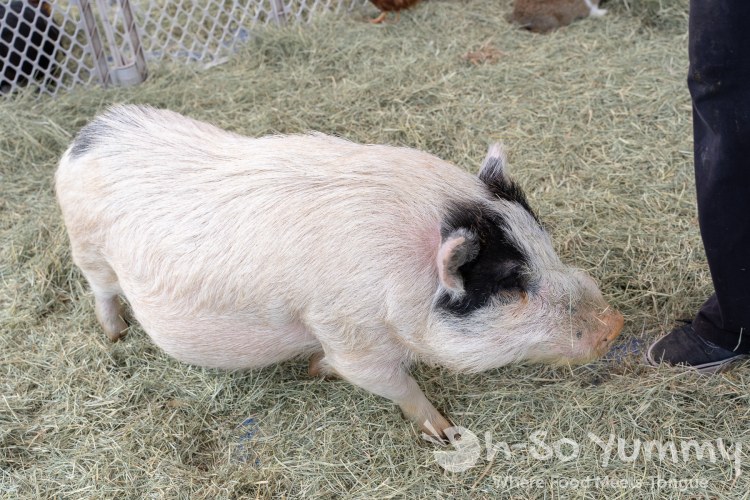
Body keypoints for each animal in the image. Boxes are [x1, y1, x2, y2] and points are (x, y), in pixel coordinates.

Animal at [55, 105, 623, 437]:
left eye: (546, 247)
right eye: (511, 285)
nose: (615, 325)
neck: (401, 278)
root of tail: (88, 134)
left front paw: (314, 369)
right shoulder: (349, 333)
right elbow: (390, 382)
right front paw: (444, 432)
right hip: (88, 248)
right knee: (100, 291)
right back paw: (115, 334)